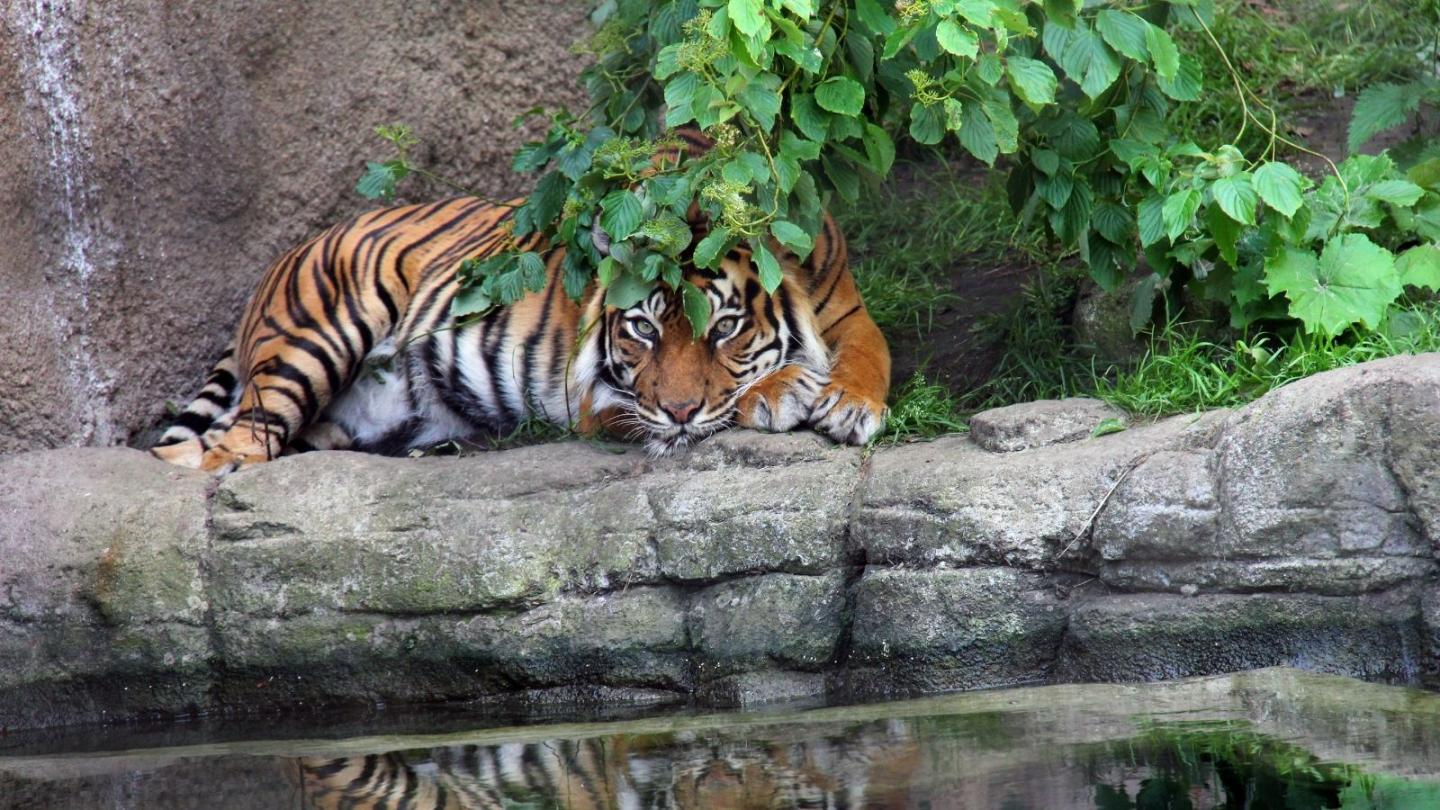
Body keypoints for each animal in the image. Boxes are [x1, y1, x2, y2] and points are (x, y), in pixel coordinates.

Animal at [151, 128, 881, 469]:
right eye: (643, 331)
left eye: (724, 328)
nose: (677, 412)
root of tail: (283, 260)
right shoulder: (599, 399)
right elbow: (704, 411)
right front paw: (780, 391)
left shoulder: (847, 308)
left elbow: (870, 356)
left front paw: (846, 406)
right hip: (319, 332)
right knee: (226, 447)